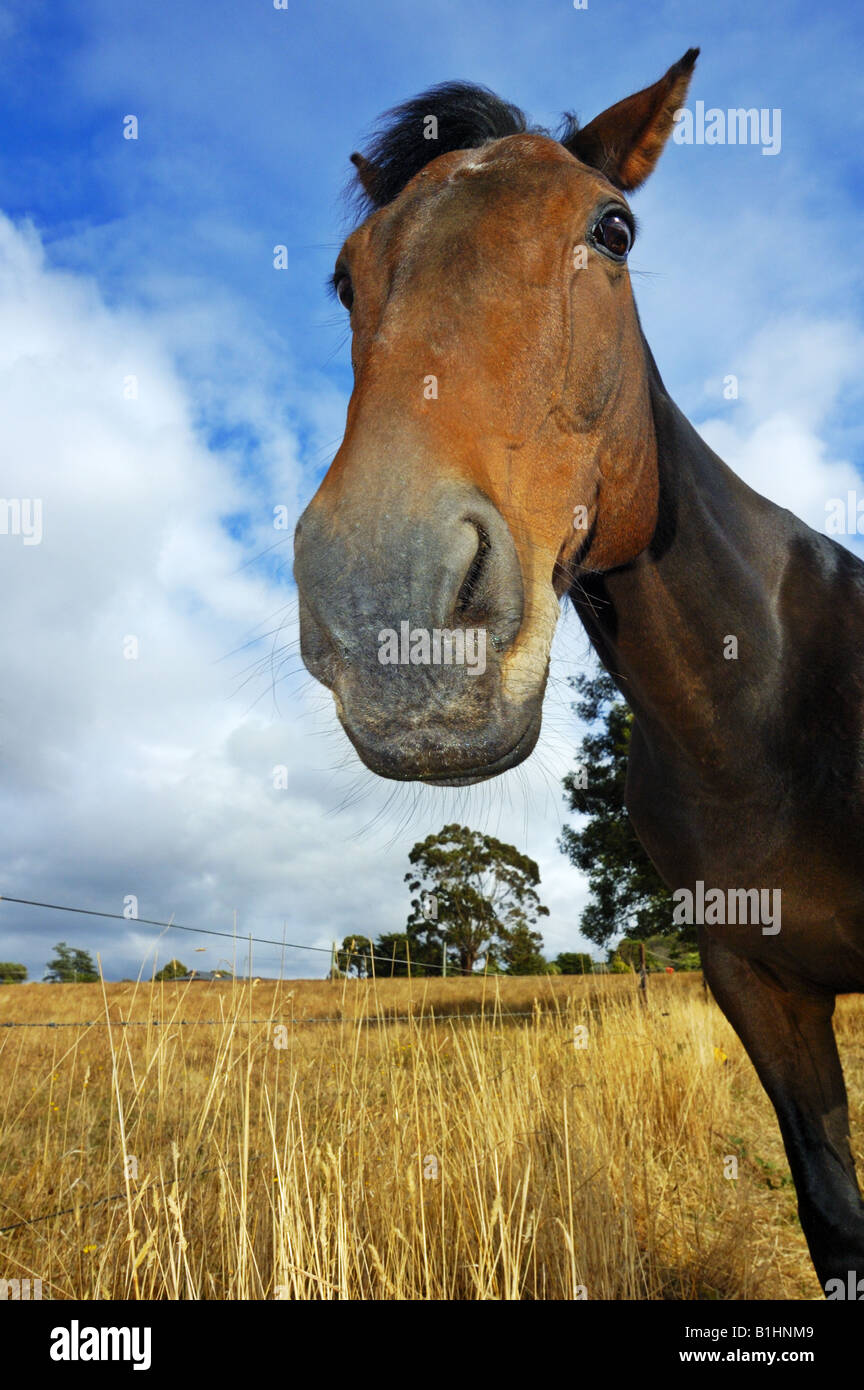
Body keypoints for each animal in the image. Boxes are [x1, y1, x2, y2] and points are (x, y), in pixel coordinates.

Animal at [294, 51, 864, 1289]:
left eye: (614, 229)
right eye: (345, 277)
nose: (387, 596)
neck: (760, 712)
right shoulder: (759, 987)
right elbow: (835, 1217)